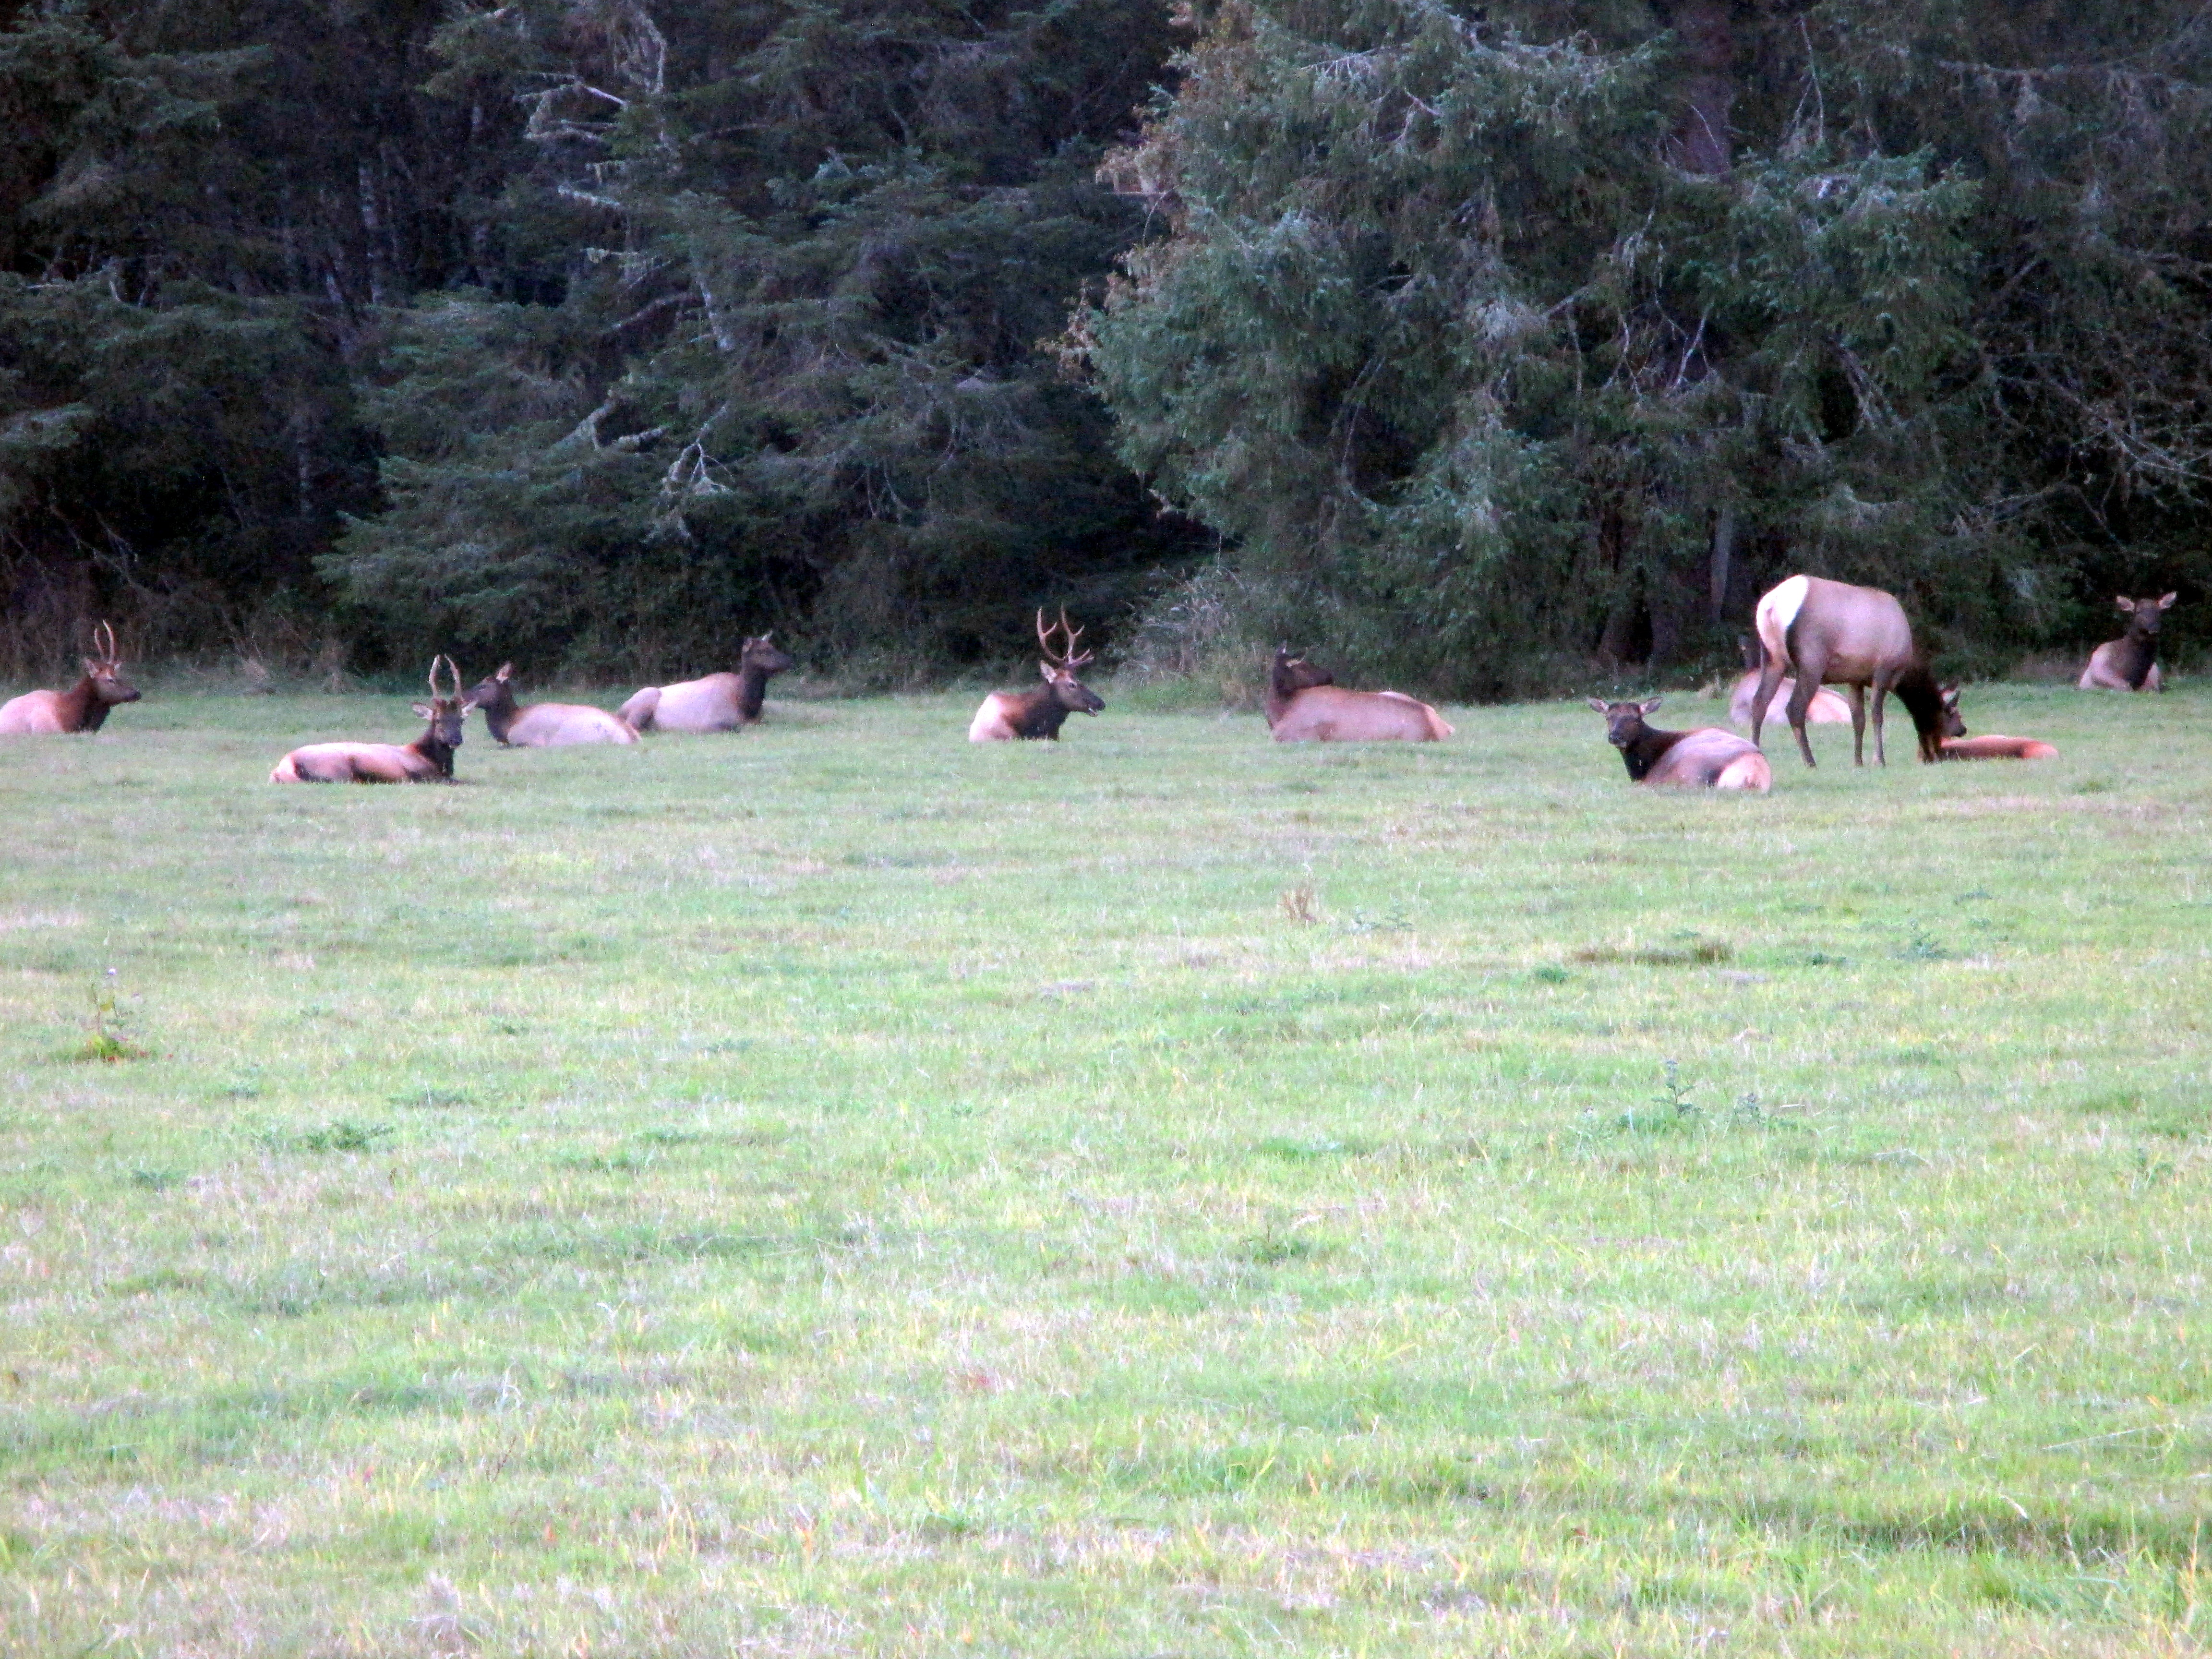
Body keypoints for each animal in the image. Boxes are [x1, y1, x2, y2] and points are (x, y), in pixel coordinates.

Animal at [270, 656, 474, 783]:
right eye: (438, 720)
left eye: (461, 720)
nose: (456, 740)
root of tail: (284, 767)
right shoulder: (422, 775)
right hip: (338, 770)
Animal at [618, 634, 795, 733]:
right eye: (762, 651)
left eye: (773, 646)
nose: (789, 660)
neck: (746, 704)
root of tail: (620, 710)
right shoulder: (710, 723)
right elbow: (734, 728)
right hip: (646, 699)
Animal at [1749, 575, 1962, 767]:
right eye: (1953, 714)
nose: (1963, 730)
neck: (1904, 674)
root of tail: (1771, 605)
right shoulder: (1883, 670)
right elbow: (1877, 715)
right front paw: (1879, 760)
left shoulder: (1855, 679)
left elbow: (1859, 720)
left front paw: (1858, 762)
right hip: (1811, 662)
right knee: (1795, 709)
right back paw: (1810, 762)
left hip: (1772, 659)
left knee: (1759, 703)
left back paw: (1757, 751)